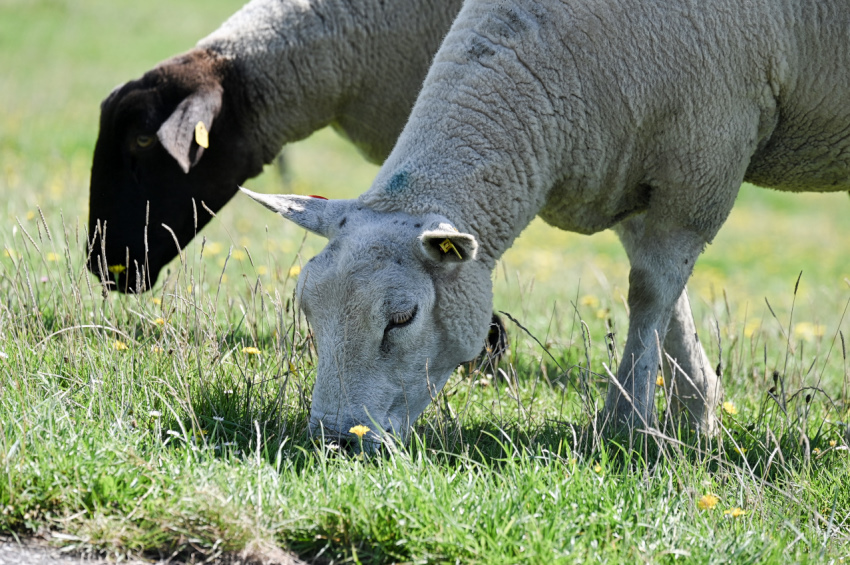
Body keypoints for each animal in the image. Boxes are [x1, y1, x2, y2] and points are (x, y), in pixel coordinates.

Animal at [242, 0, 850, 441]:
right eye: (308, 311)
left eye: (401, 318)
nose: (335, 440)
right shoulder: (630, 170)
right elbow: (667, 294)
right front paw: (697, 413)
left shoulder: (703, 161)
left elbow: (650, 292)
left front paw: (626, 425)